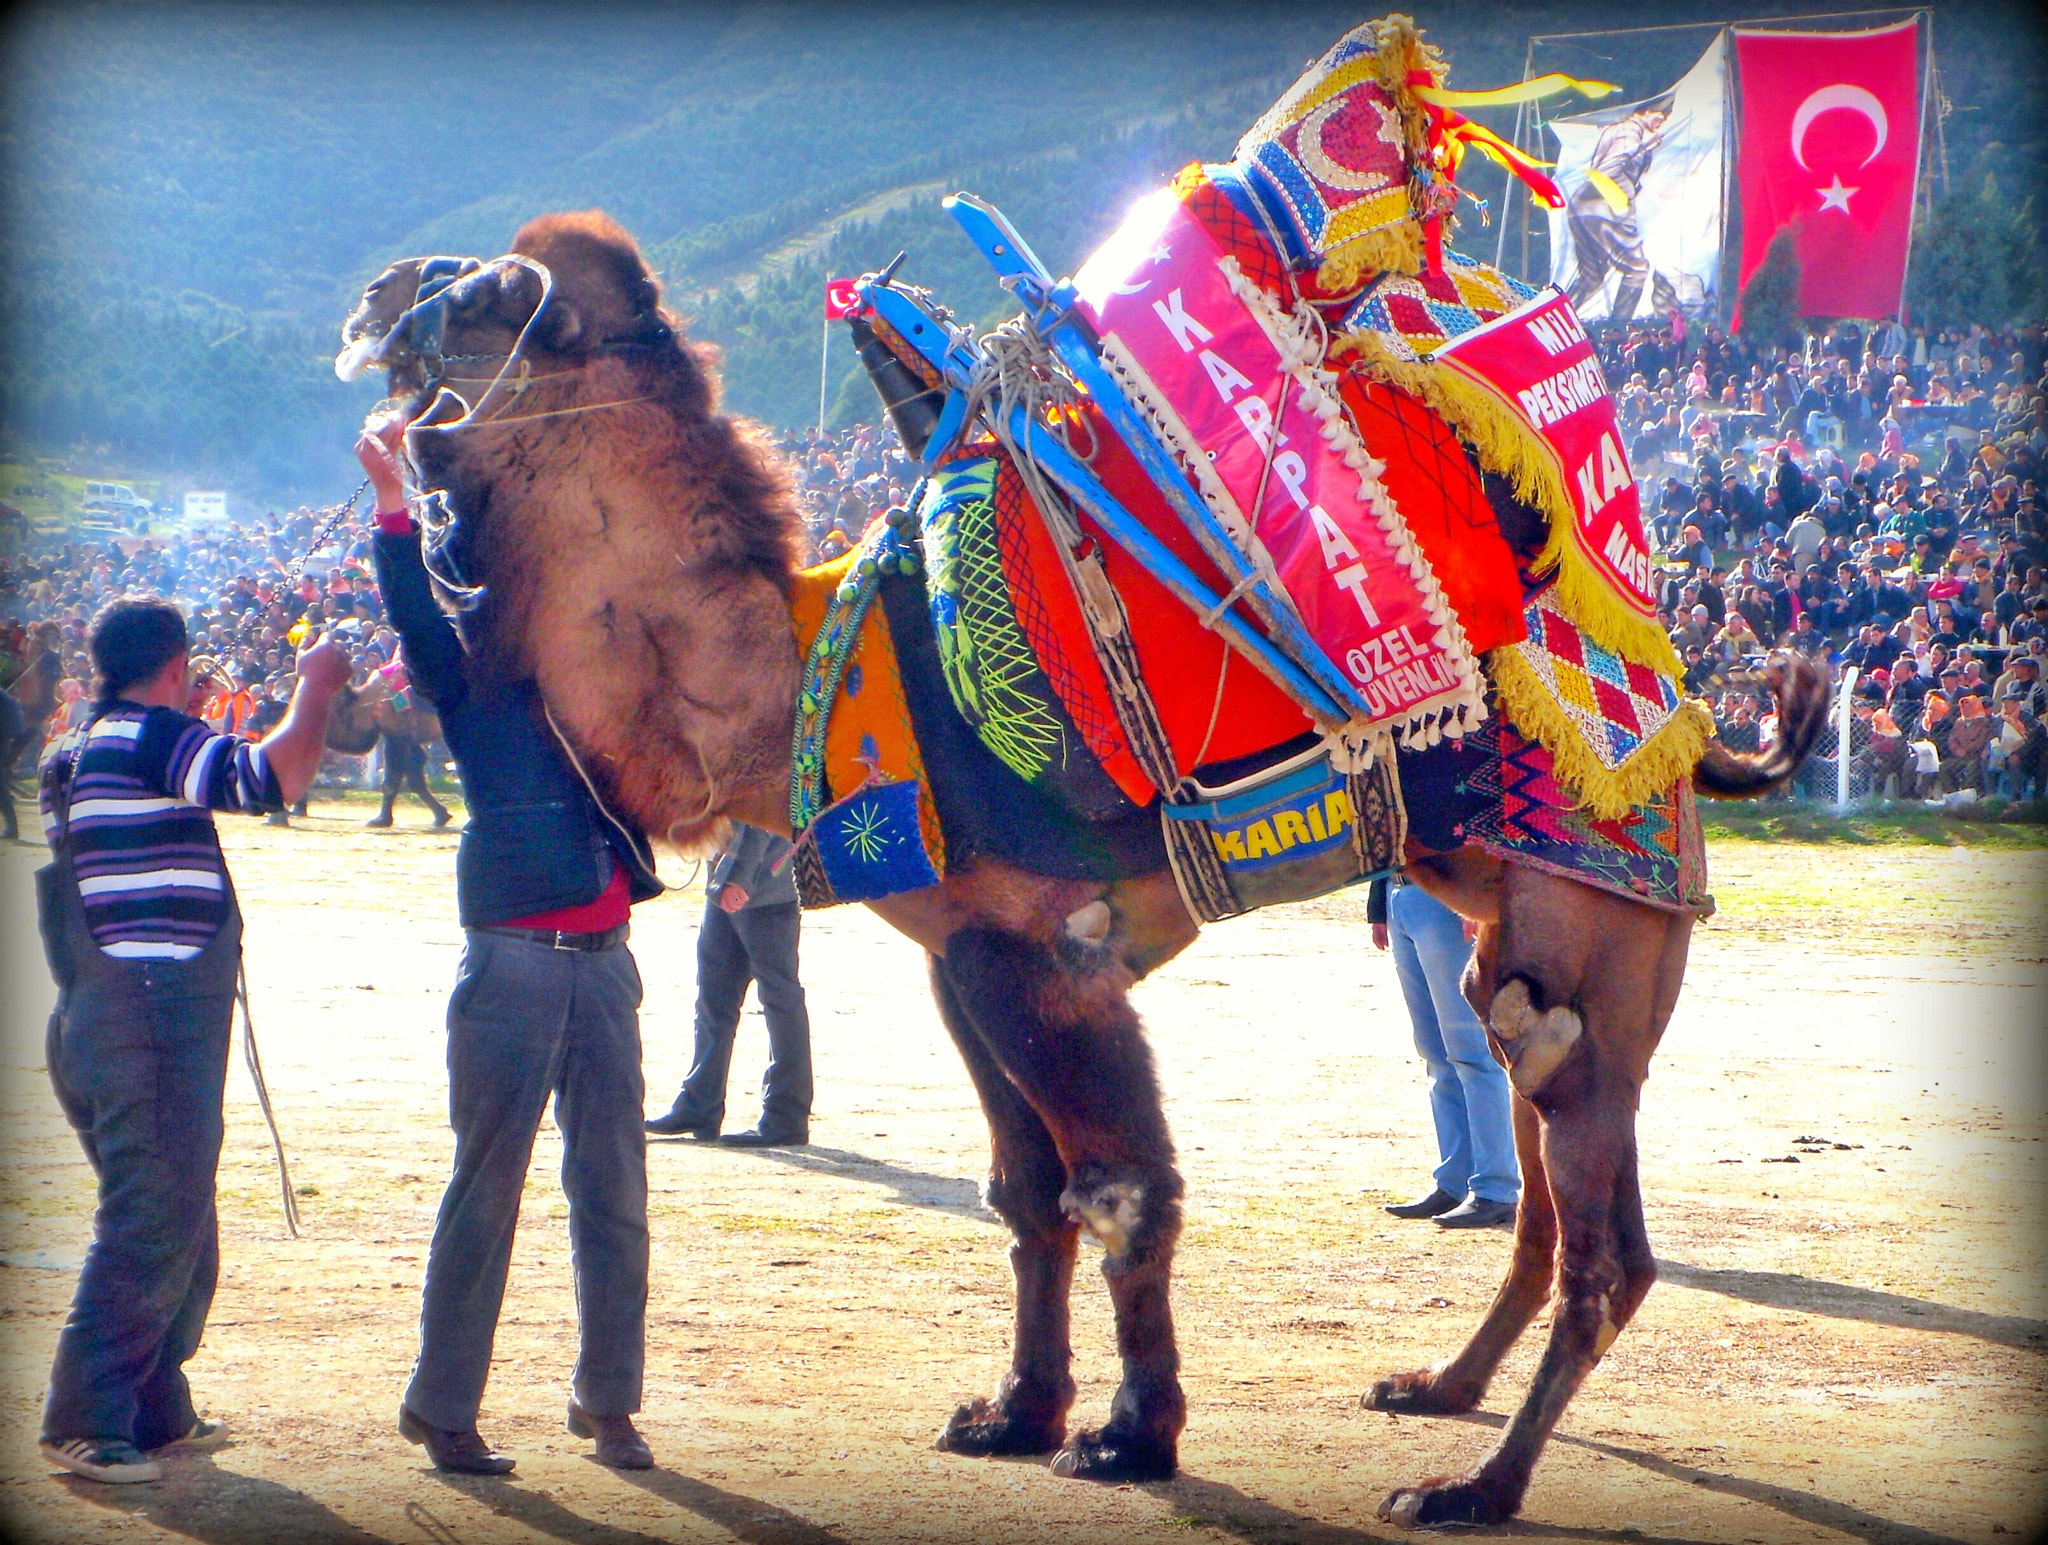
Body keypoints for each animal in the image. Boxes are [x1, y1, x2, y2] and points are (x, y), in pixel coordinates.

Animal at [338, 212, 1826, 1528]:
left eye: (490, 291)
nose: (374, 292)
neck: (806, 681)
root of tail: (1681, 725)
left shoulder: (1049, 948)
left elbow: (1117, 1188)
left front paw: (1130, 1437)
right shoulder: (960, 954)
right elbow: (1023, 1191)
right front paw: (1015, 1411)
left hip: (1598, 939)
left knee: (1604, 1246)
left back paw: (1475, 1487)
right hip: (1503, 930)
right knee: (1541, 1194)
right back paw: (1438, 1392)